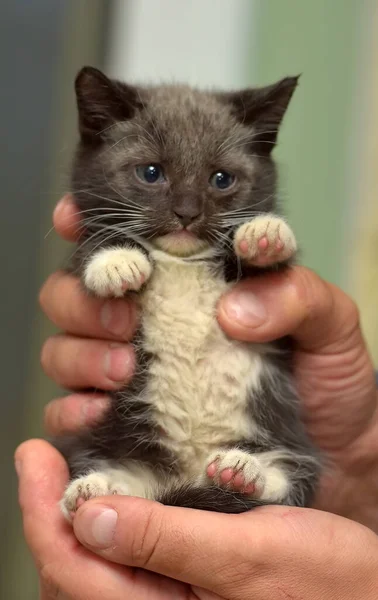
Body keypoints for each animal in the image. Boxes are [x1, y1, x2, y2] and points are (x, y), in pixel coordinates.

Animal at [54, 64, 320, 516]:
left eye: (221, 179)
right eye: (151, 173)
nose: (186, 213)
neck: (180, 263)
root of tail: (190, 472)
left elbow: (272, 263)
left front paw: (265, 234)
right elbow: (92, 244)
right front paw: (115, 261)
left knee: (290, 481)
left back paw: (244, 472)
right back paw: (93, 488)